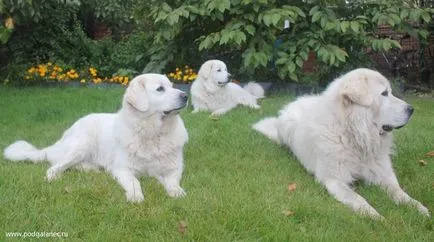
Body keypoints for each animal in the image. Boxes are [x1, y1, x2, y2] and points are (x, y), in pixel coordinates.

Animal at [3, 73, 189, 202]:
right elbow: (134, 182)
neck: (153, 133)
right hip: (82, 145)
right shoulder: (122, 169)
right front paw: (136, 196)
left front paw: (177, 192)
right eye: (160, 89)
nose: (185, 96)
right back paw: (55, 177)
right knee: (54, 168)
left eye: (172, 86)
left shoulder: (175, 168)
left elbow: (173, 182)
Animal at [254, 68, 430, 219]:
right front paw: (376, 217)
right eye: (384, 93)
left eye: (390, 92)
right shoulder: (334, 180)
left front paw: (420, 209)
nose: (411, 109)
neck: (355, 136)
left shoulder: (384, 175)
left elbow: (401, 194)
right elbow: (358, 198)